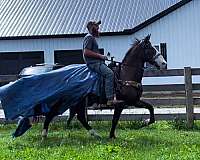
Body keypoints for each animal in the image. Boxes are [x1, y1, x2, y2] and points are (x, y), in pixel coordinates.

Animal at [11, 34, 166, 139]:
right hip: (68, 102)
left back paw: (94, 134)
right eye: (150, 48)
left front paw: (144, 122)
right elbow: (115, 120)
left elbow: (151, 110)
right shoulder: (120, 104)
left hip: (77, 102)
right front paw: (112, 136)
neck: (125, 75)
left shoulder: (134, 101)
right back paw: (45, 135)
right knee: (53, 114)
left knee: (79, 117)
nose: (164, 63)